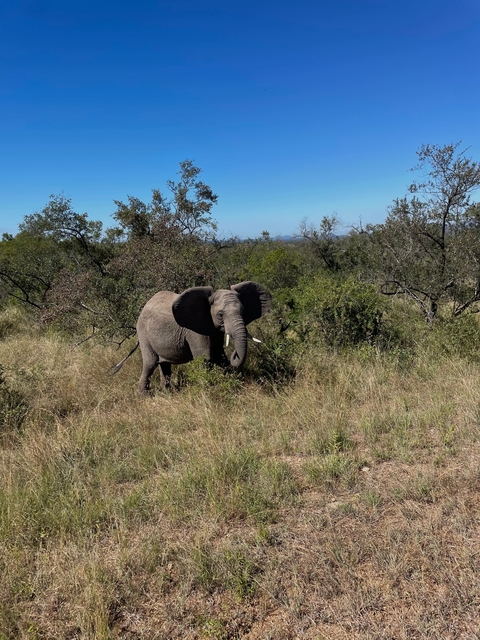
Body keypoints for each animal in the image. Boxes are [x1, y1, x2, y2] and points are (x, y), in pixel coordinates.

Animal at [113, 281, 272, 393]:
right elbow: (205, 358)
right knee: (150, 363)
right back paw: (143, 396)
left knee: (164, 364)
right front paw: (207, 391)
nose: (234, 353)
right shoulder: (195, 331)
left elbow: (219, 357)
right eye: (220, 315)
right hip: (143, 333)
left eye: (243, 311)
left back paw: (168, 393)